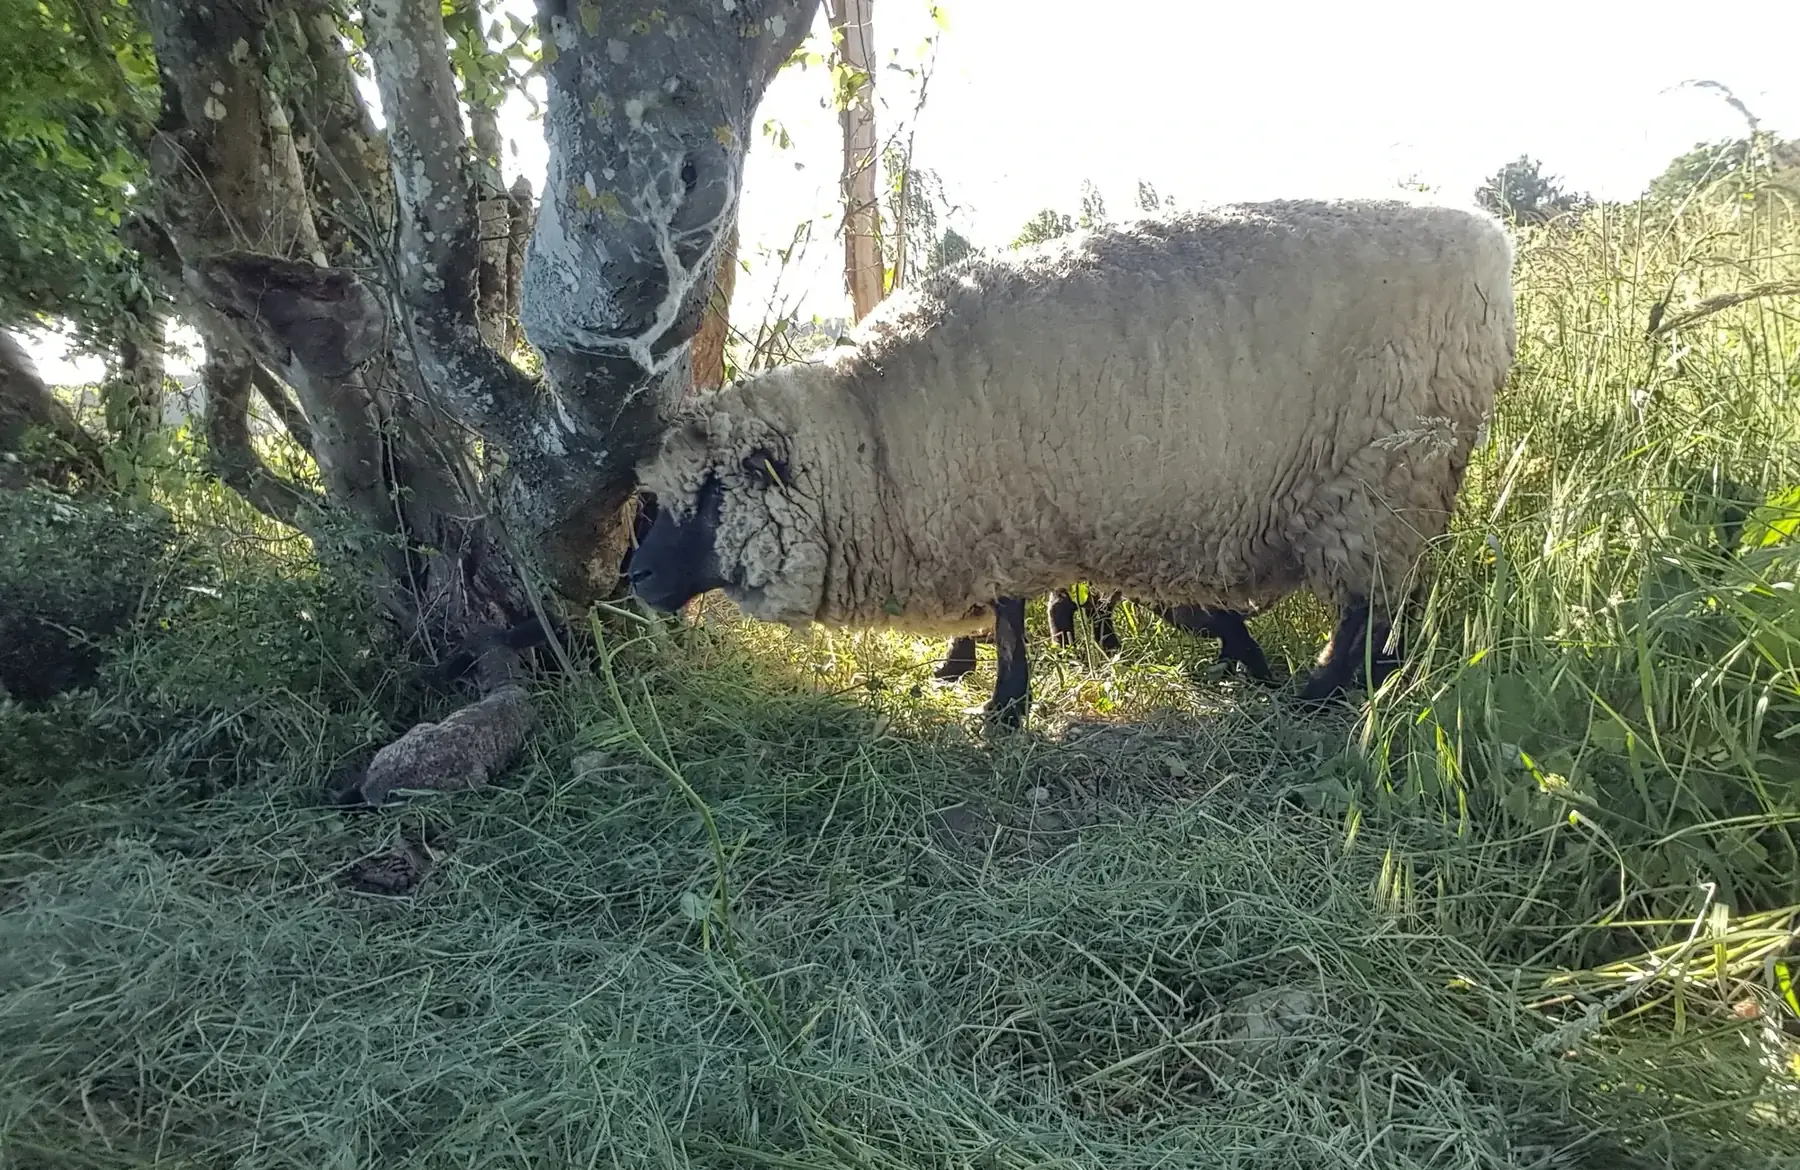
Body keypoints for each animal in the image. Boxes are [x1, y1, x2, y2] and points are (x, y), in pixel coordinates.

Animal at [627, 197, 1516, 727]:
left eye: (711, 494)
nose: (633, 578)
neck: (871, 438)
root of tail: (1491, 242)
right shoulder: (992, 519)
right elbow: (1005, 614)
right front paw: (972, 677)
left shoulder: (999, 516)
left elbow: (1010, 615)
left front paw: (1003, 707)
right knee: (1395, 599)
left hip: (1380, 476)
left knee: (1369, 604)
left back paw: (1319, 691)